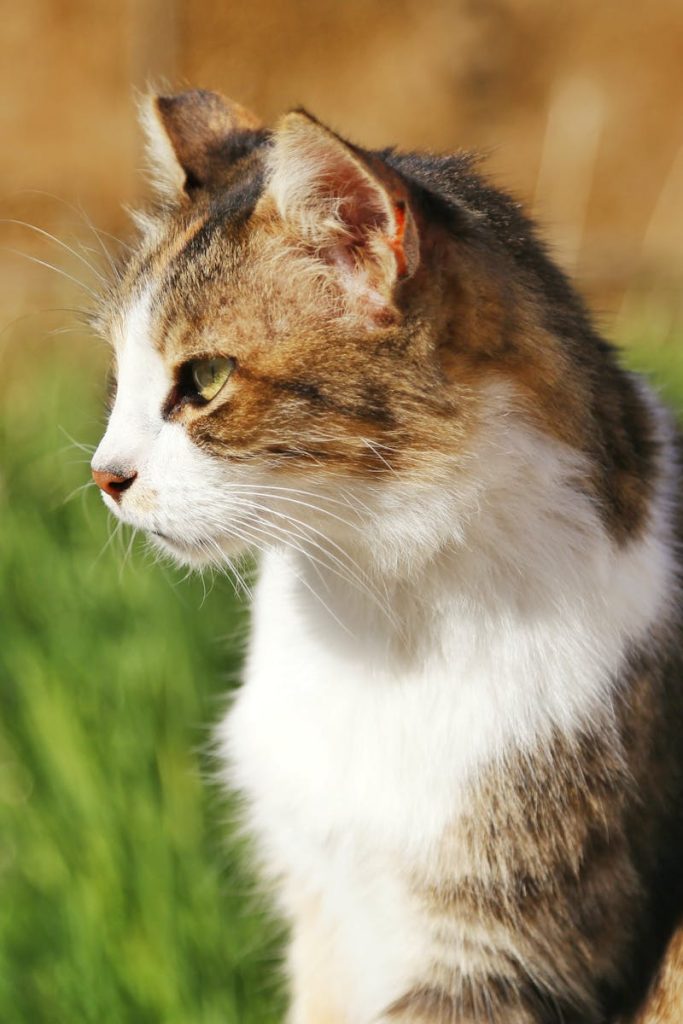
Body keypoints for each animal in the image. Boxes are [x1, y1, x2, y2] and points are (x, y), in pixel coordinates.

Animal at [90, 90, 683, 1024]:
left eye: (206, 379)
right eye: (117, 372)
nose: (103, 475)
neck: (373, 614)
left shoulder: (507, 948)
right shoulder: (322, 907)